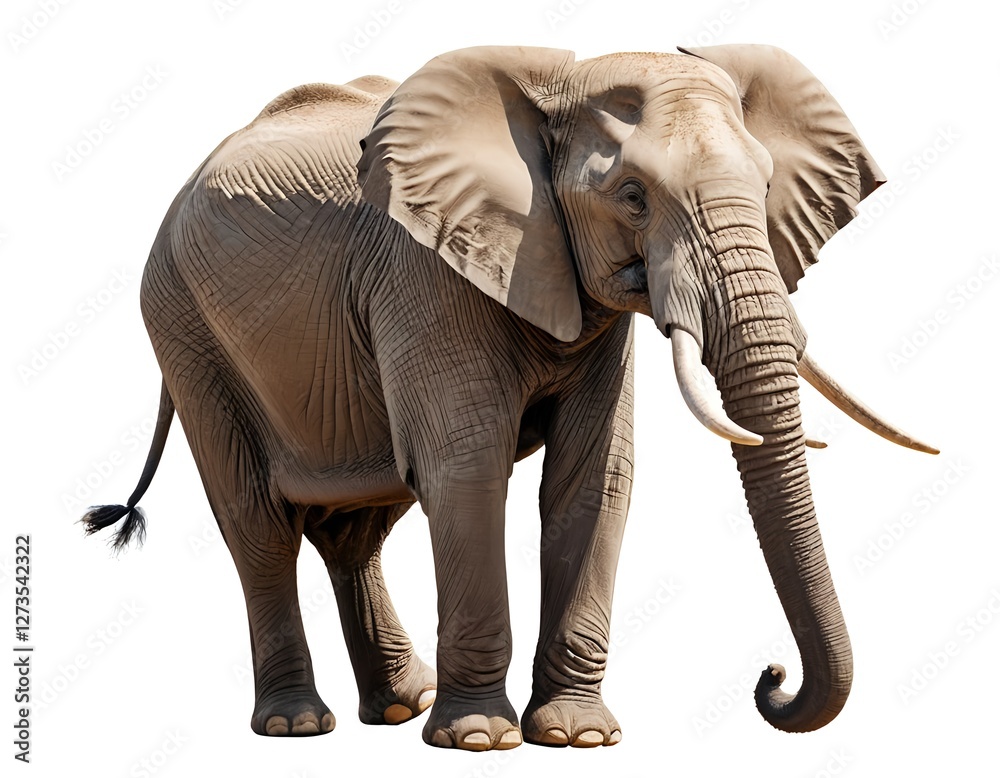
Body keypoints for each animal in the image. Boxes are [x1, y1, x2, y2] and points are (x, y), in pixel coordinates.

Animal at [82, 44, 937, 750]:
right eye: (633, 196)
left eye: (764, 188)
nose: (771, 680)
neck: (561, 86)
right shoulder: (424, 270)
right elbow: (467, 471)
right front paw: (480, 741)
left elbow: (594, 479)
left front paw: (575, 737)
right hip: (184, 328)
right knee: (258, 522)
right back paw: (299, 724)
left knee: (360, 520)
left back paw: (401, 705)